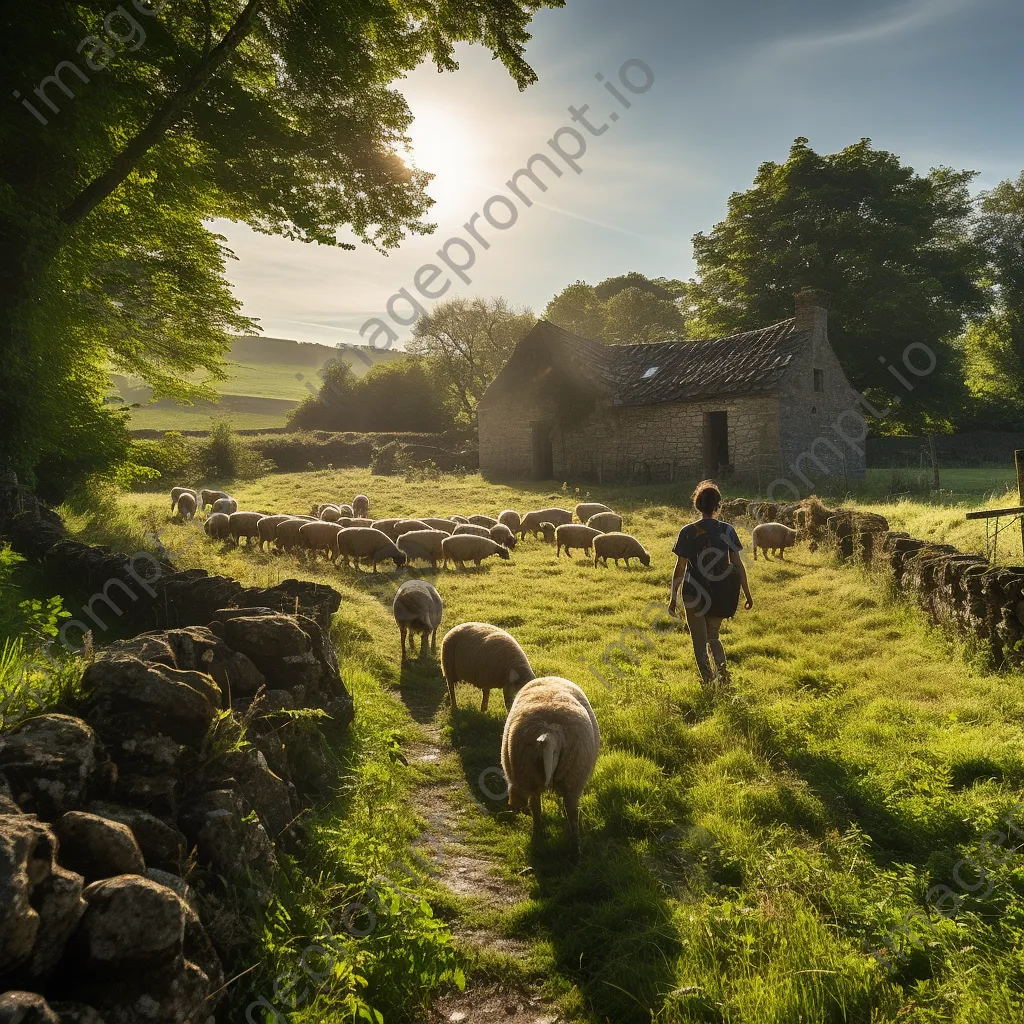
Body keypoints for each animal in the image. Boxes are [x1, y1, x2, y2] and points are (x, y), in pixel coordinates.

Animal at [501, 675, 598, 851]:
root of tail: (551, 734)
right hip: (572, 777)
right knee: (569, 814)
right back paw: (574, 846)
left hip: (532, 775)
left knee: (537, 808)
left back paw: (539, 835)